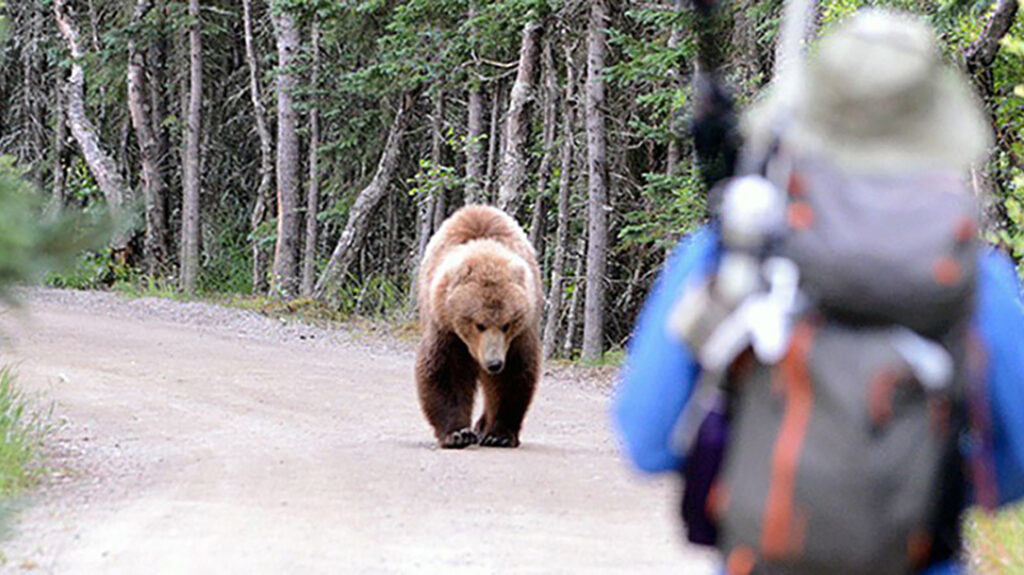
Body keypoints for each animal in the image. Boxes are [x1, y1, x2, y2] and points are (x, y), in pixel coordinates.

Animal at [415, 205, 543, 449]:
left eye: (507, 324)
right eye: (479, 324)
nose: (494, 363)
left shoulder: (518, 335)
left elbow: (511, 375)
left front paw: (499, 434)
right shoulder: (445, 327)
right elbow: (446, 370)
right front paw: (457, 434)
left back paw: (482, 426)